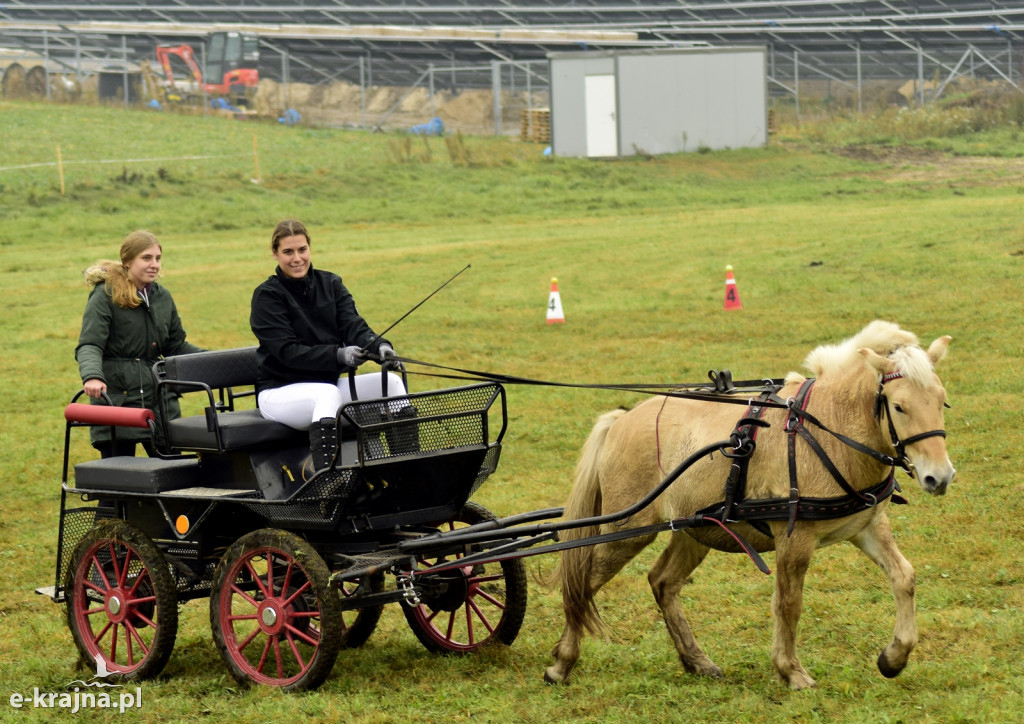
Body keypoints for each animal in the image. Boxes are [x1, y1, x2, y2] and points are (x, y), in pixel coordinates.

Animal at [548, 323, 954, 692]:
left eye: (942, 400)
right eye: (899, 407)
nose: (940, 476)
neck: (828, 430)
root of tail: (622, 418)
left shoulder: (868, 525)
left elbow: (904, 577)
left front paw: (894, 657)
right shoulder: (794, 539)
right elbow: (788, 603)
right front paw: (791, 671)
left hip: (694, 528)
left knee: (662, 582)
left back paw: (696, 661)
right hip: (626, 530)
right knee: (582, 584)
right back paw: (562, 663)